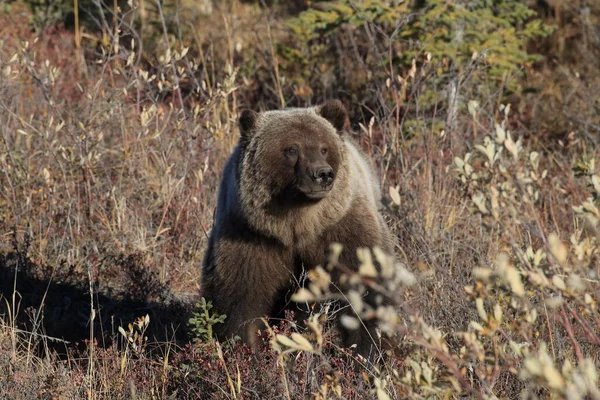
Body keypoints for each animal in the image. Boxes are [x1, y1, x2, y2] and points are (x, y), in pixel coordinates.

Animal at [204, 101, 396, 358]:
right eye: (292, 149)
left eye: (324, 148)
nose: (323, 174)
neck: (296, 225)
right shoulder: (249, 235)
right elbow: (240, 296)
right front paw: (245, 351)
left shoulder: (342, 229)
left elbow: (365, 289)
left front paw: (366, 352)